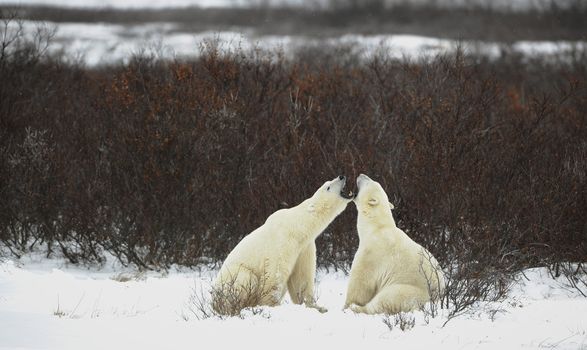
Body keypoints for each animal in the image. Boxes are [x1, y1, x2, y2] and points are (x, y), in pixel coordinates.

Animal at [211, 175, 352, 314]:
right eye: (328, 187)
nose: (342, 176)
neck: (298, 227)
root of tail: (214, 302)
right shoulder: (282, 242)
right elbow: (275, 273)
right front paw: (273, 305)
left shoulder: (304, 247)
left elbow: (302, 277)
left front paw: (317, 307)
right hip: (233, 278)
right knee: (247, 278)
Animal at [344, 174, 446, 314]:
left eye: (368, 181)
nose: (361, 175)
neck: (377, 227)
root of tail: (435, 300)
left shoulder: (372, 252)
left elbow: (360, 282)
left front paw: (347, 306)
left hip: (406, 291)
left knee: (384, 299)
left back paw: (357, 308)